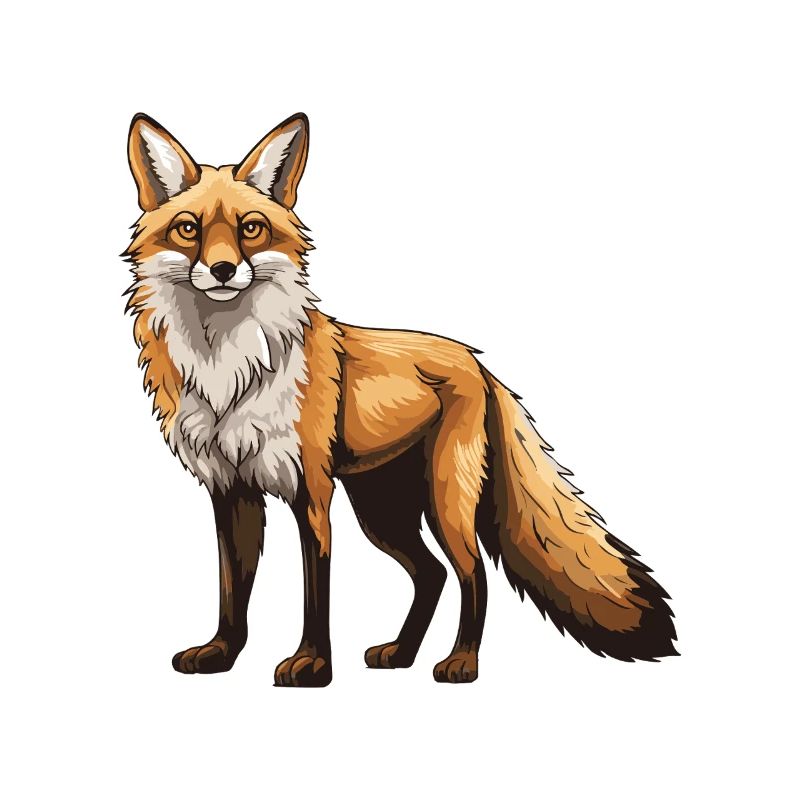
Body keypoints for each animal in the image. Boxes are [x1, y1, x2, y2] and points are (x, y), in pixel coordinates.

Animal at [123, 112, 677, 686]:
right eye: (188, 229)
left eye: (250, 229)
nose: (224, 270)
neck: (229, 371)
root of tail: (477, 361)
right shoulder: (230, 490)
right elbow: (233, 589)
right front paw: (222, 653)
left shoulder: (311, 491)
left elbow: (316, 590)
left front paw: (313, 663)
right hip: (382, 511)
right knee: (431, 574)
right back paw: (401, 653)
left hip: (443, 501)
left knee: (473, 572)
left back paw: (461, 662)